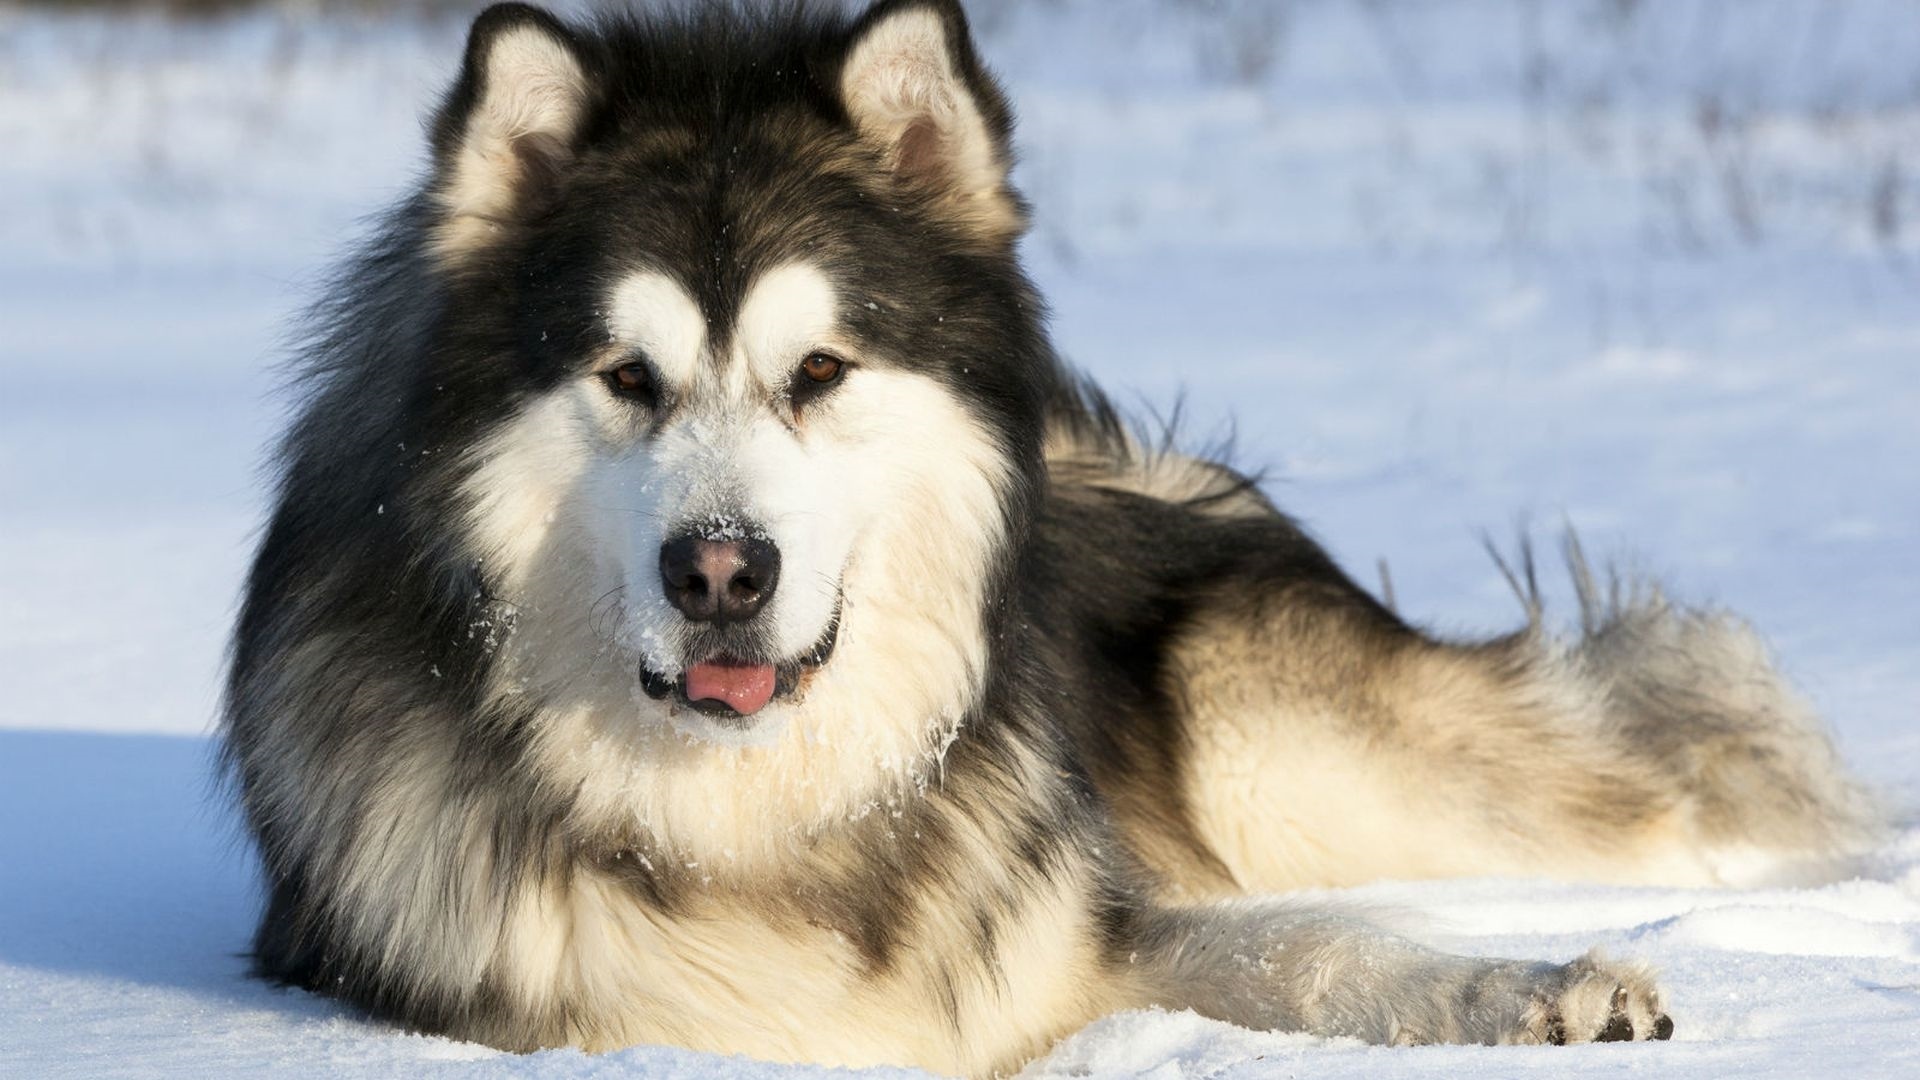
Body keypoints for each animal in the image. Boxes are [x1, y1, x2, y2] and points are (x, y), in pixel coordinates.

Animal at [220, 2, 1873, 1068]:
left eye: (819, 372)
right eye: (627, 378)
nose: (721, 572)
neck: (763, 818)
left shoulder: (1084, 925)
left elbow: (1321, 948)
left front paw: (1536, 992)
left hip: (1293, 750)